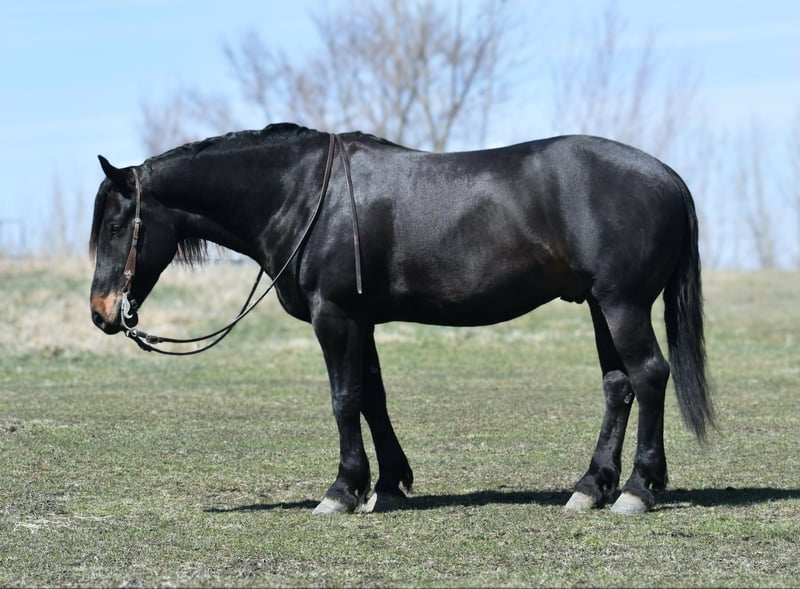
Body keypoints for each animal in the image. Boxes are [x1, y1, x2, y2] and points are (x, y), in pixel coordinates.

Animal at [89, 123, 713, 515]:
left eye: (117, 226)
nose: (101, 313)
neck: (302, 196)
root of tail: (667, 176)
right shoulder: (359, 321)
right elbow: (372, 396)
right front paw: (386, 486)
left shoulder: (335, 316)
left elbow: (344, 400)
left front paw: (341, 491)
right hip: (600, 307)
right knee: (618, 385)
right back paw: (591, 487)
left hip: (623, 304)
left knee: (649, 376)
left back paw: (638, 489)